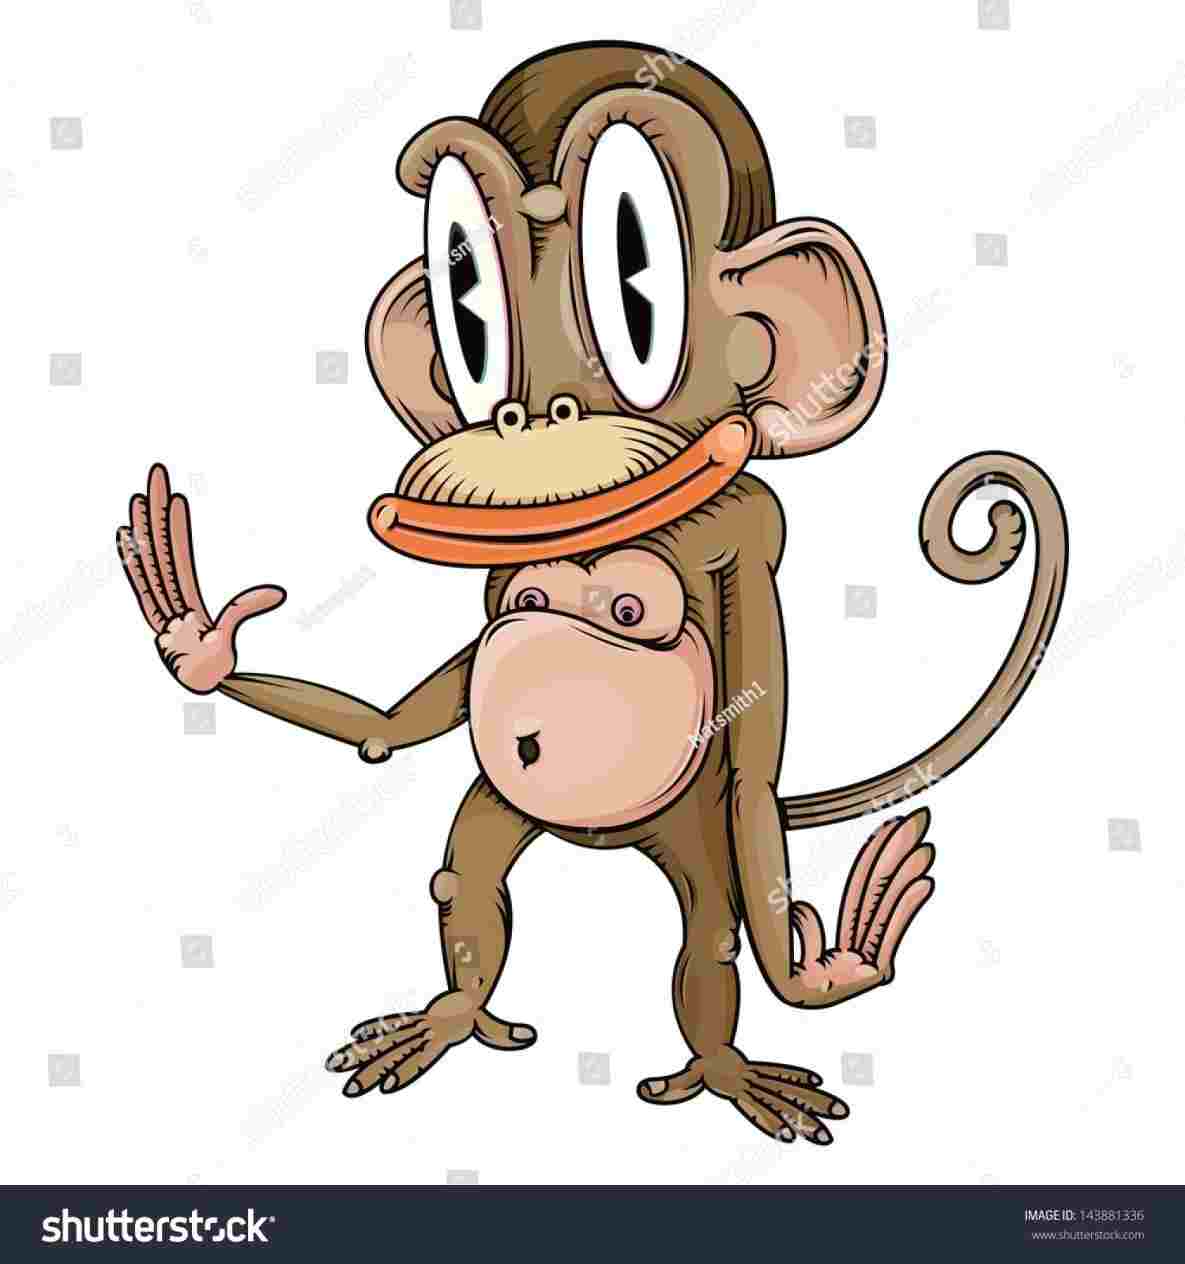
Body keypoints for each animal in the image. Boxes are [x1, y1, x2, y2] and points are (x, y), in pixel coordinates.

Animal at [115, 42, 1067, 1145]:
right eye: (466, 308)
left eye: (635, 283)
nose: (526, 422)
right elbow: (395, 728)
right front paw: (196, 640)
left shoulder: (748, 542)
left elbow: (753, 772)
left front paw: (829, 967)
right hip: (496, 805)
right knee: (469, 877)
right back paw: (452, 1015)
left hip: (688, 833)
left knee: (708, 934)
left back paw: (723, 1065)